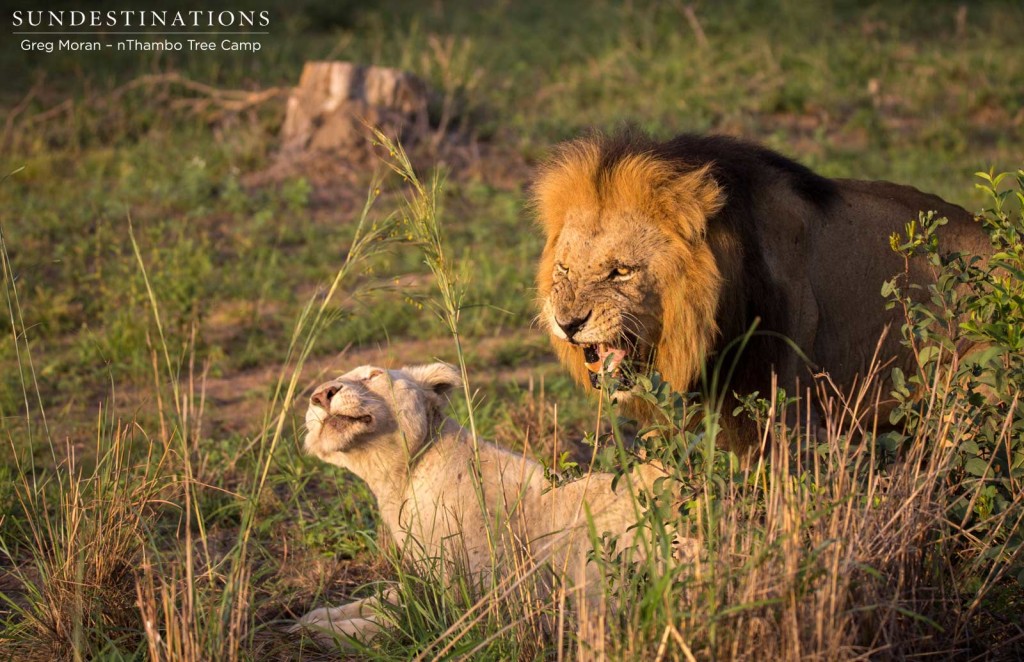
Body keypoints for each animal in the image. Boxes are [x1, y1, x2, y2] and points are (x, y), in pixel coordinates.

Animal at [294, 362, 679, 647]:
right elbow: (384, 596)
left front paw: (321, 632)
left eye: (371, 375)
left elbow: (397, 620)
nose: (320, 395)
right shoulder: (431, 579)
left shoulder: (489, 602)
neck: (398, 481)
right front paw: (314, 617)